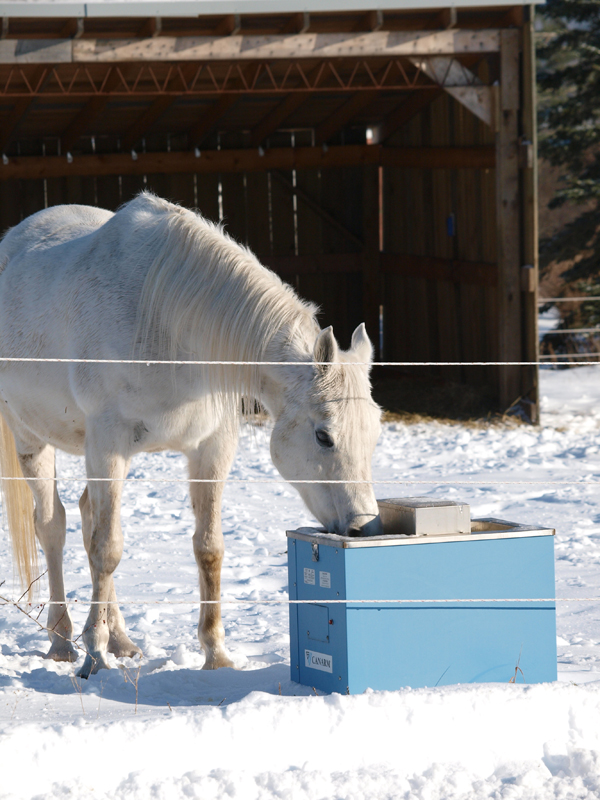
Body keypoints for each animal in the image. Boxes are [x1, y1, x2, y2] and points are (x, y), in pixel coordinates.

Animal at [0, 192, 382, 679]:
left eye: (373, 435)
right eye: (323, 436)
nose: (364, 527)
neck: (168, 324)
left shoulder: (211, 447)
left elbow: (208, 548)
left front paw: (216, 655)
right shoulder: (107, 445)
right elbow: (107, 549)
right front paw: (94, 656)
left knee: (86, 518)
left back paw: (121, 638)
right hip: (31, 438)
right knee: (53, 526)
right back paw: (63, 641)